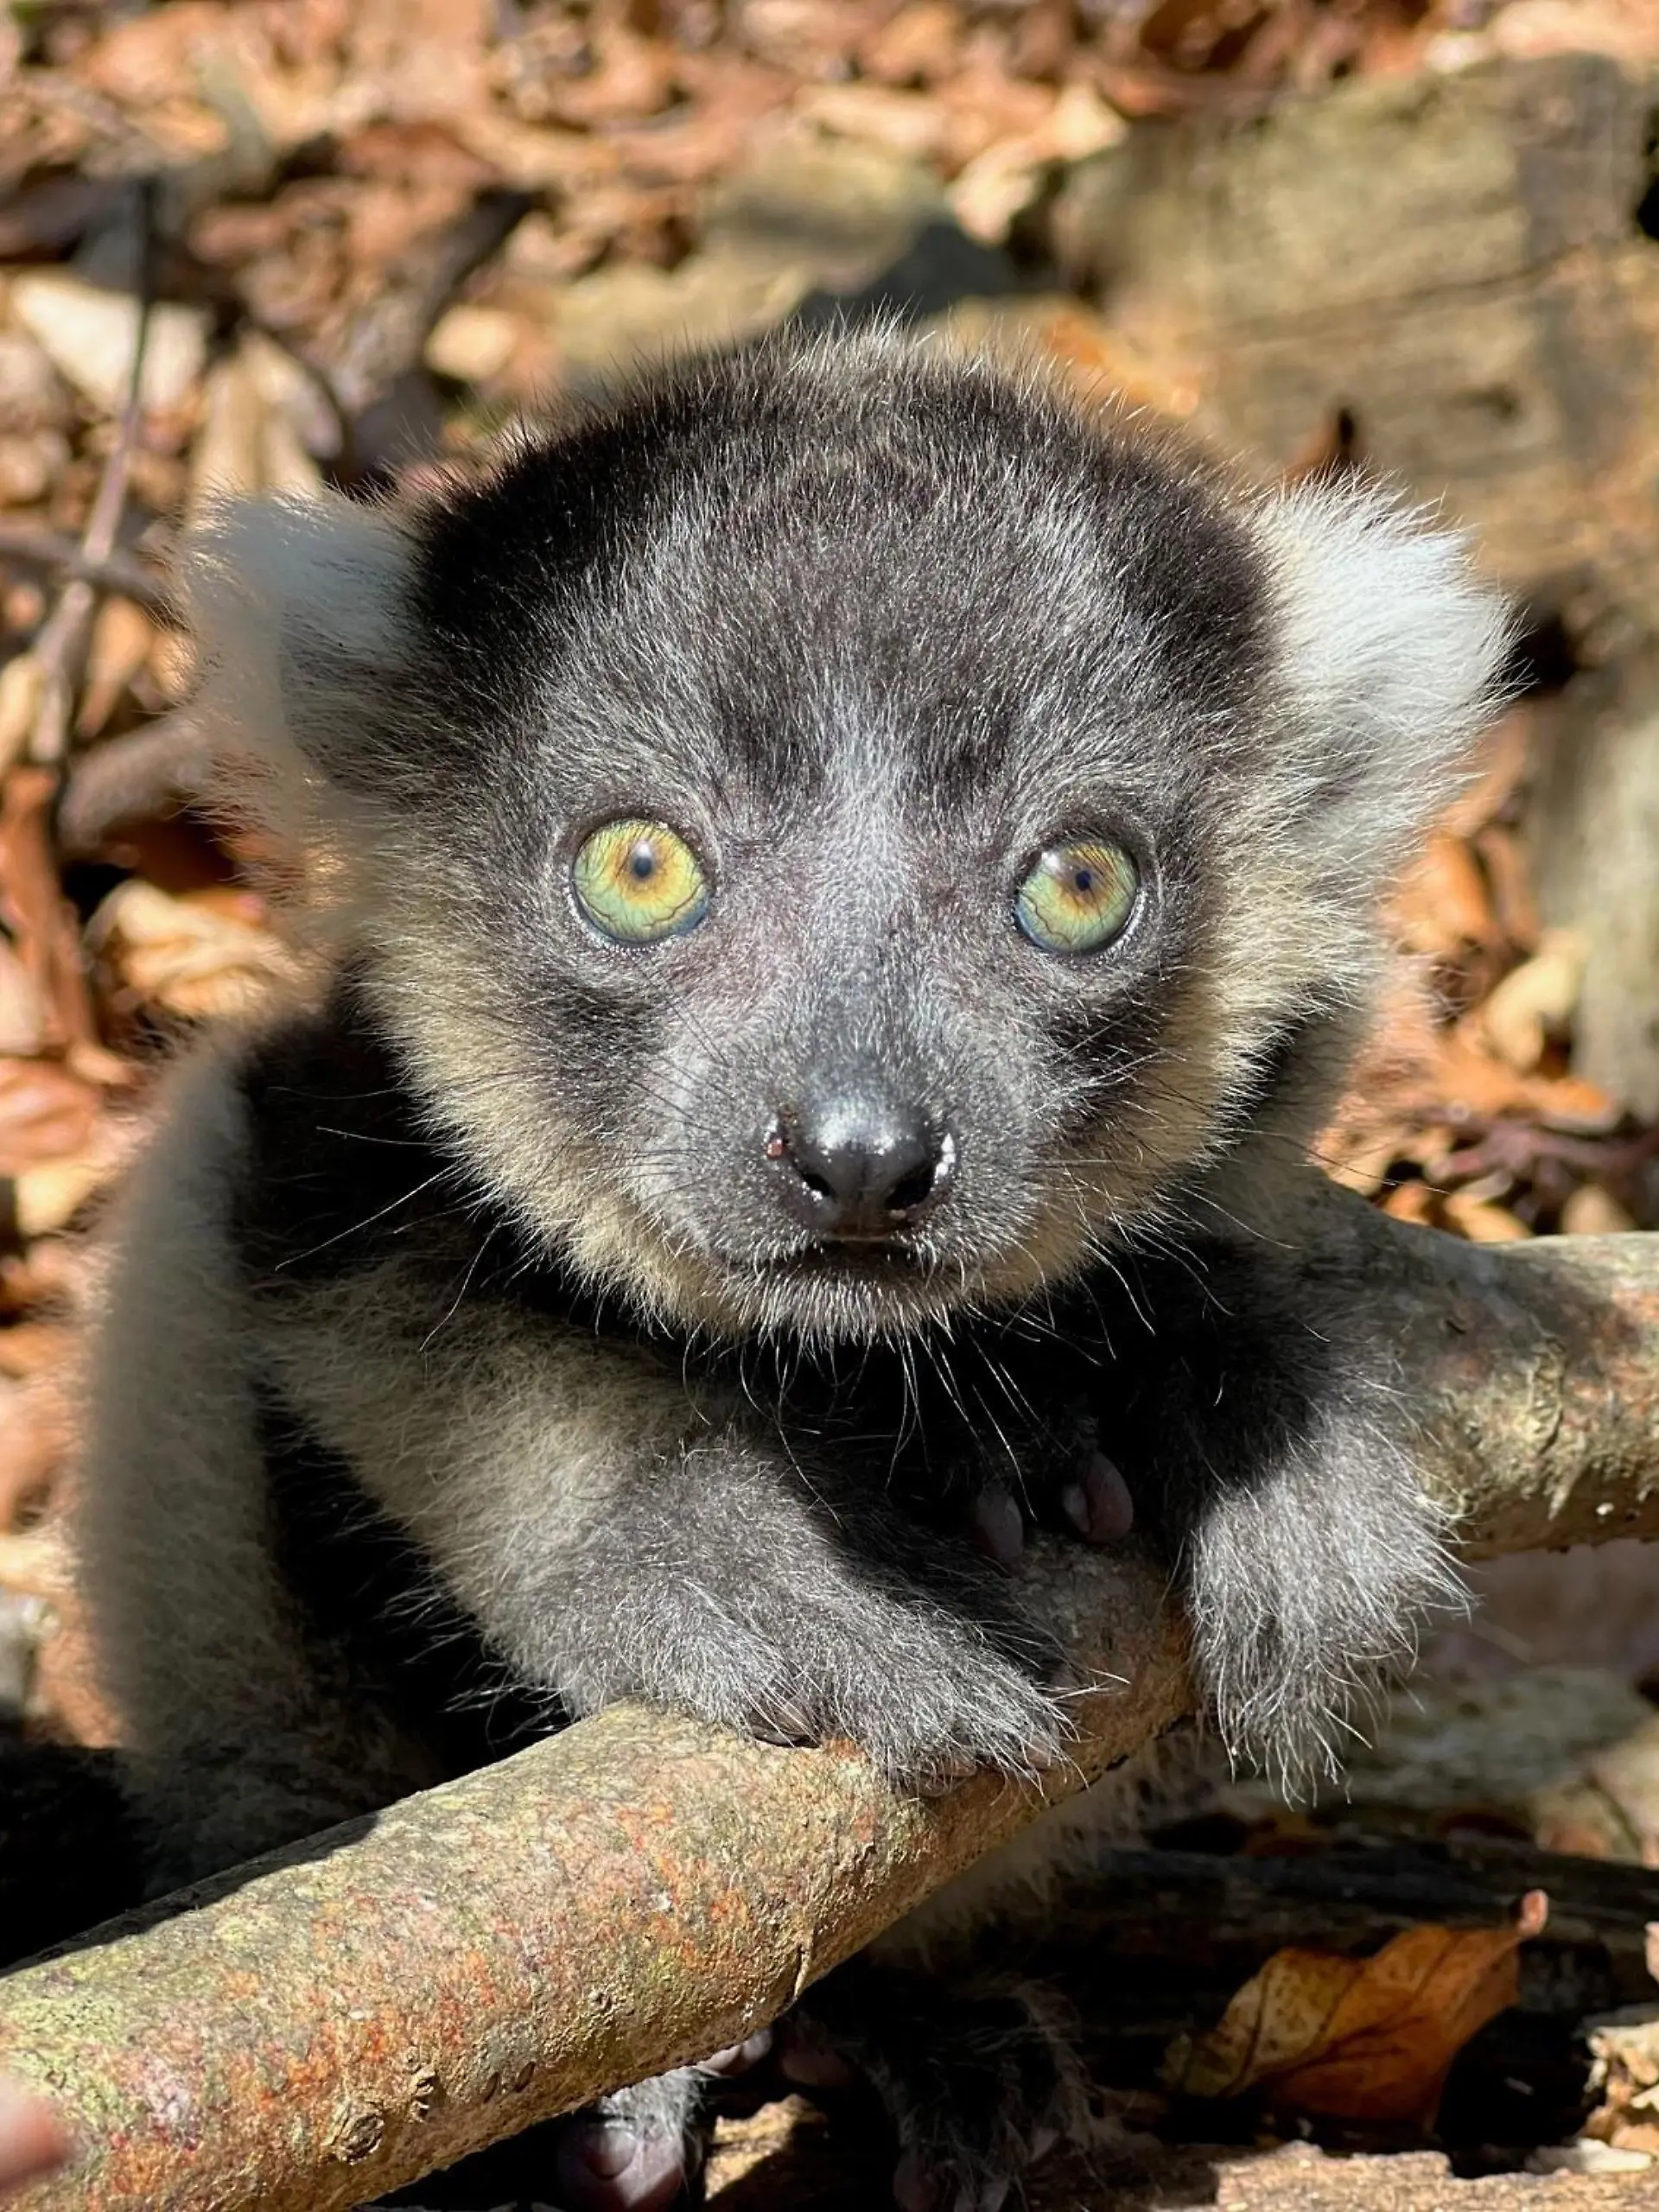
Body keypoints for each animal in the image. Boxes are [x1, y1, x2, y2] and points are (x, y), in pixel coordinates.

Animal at [74, 325, 1509, 2212]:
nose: (860, 1153)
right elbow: (368, 1282)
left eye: (1079, 883)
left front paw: (1231, 1414)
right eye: (639, 865)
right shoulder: (333, 1122)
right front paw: (722, 1554)